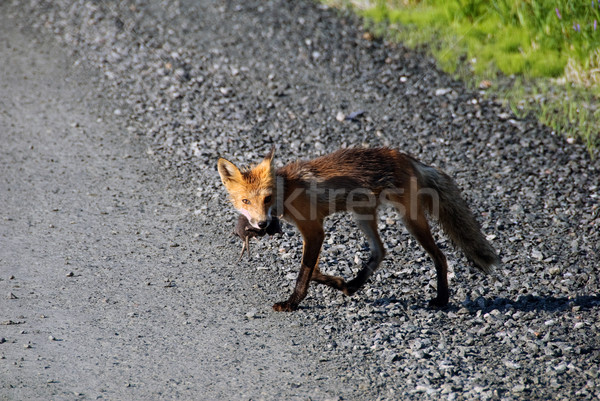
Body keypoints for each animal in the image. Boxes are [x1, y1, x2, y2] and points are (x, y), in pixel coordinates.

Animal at [218, 145, 500, 310]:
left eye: (266, 199)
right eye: (245, 201)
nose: (262, 224)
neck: (287, 190)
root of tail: (406, 158)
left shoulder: (314, 230)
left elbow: (304, 272)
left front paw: (292, 303)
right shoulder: (314, 233)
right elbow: (314, 270)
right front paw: (339, 282)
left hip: (410, 219)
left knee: (440, 256)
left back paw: (442, 299)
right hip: (362, 216)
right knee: (380, 251)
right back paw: (353, 284)